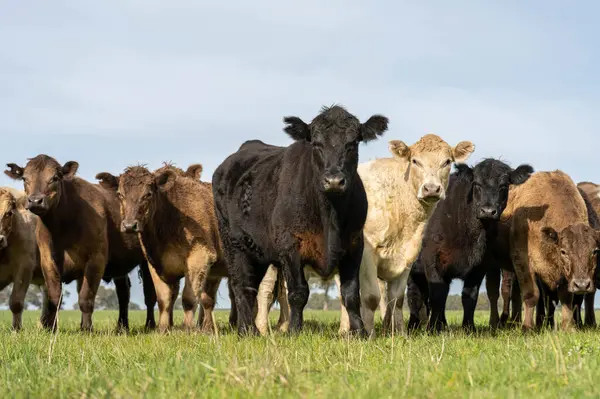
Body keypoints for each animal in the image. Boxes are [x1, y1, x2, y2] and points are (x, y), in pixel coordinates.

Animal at [4, 155, 154, 332]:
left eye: (54, 178)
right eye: (25, 179)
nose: (35, 201)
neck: (62, 228)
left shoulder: (96, 259)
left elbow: (85, 298)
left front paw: (87, 329)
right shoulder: (48, 260)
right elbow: (54, 298)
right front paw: (52, 329)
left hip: (147, 260)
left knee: (150, 295)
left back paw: (150, 325)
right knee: (123, 292)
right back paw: (121, 327)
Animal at [213, 105, 386, 334]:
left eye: (352, 143)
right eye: (316, 144)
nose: (334, 181)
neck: (330, 216)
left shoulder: (354, 244)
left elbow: (350, 293)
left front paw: (359, 331)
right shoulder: (290, 245)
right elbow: (298, 293)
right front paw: (294, 330)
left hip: (258, 251)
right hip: (234, 244)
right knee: (243, 287)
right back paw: (248, 330)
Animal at [406, 158, 532, 332]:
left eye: (504, 186)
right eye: (476, 184)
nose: (488, 211)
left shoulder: (480, 265)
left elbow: (469, 296)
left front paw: (468, 328)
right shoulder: (432, 259)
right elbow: (437, 294)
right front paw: (433, 329)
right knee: (414, 295)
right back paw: (413, 326)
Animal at [506, 172, 600, 332]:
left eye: (594, 251)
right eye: (563, 251)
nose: (582, 285)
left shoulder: (563, 275)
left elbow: (566, 297)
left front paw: (568, 327)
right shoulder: (523, 264)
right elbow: (531, 295)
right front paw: (527, 327)